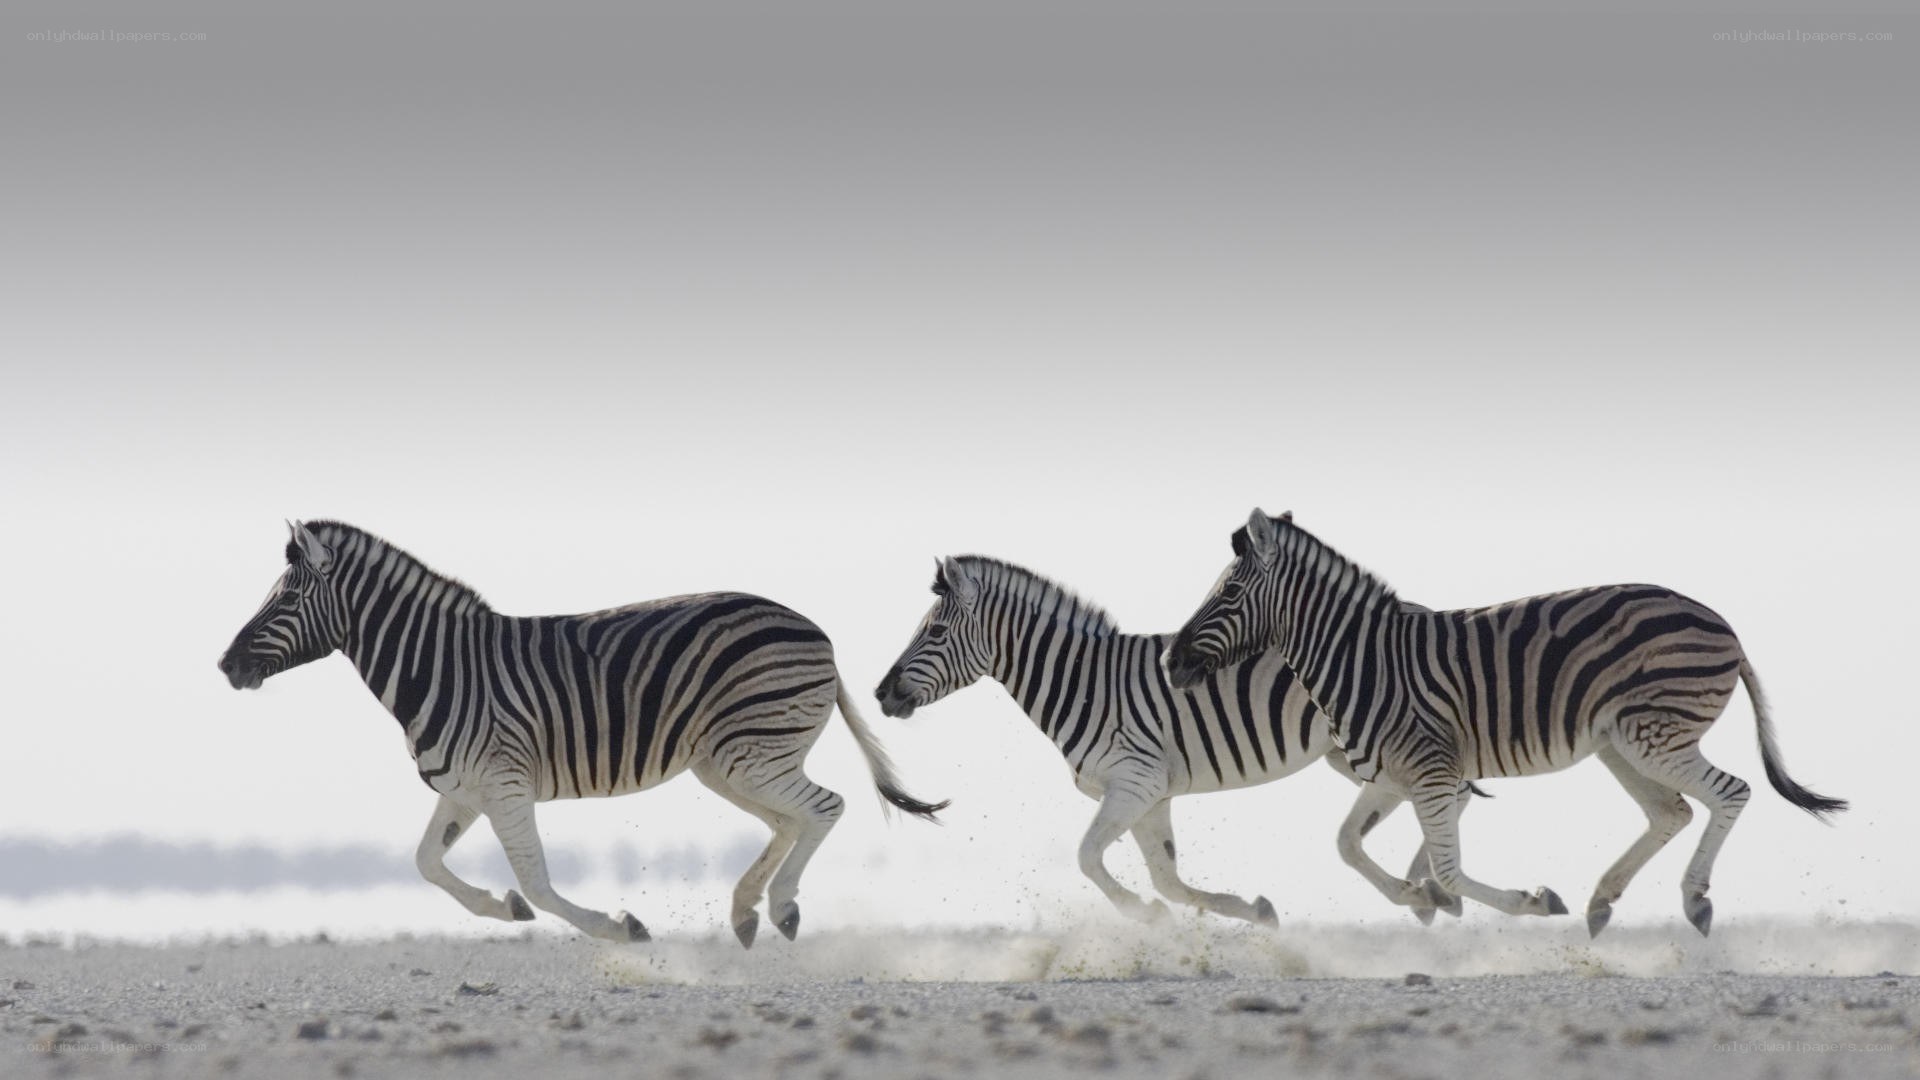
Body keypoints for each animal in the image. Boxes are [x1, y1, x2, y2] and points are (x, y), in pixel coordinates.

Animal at [217, 521, 946, 947]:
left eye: (287, 598)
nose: (225, 665)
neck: (439, 667)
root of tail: (813, 628)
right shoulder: (464, 792)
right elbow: (426, 863)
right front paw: (502, 908)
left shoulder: (505, 785)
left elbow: (538, 881)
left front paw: (619, 928)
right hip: (729, 760)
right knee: (791, 820)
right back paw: (747, 910)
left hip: (750, 753)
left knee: (825, 807)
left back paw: (782, 907)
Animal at [873, 555, 1475, 927]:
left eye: (935, 632)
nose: (880, 693)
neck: (1084, 682)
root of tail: (1423, 614)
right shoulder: (1149, 795)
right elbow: (1168, 879)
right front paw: (1253, 910)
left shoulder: (1134, 782)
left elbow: (1088, 858)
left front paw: (1143, 914)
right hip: (1349, 752)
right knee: (1449, 794)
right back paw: (1426, 892)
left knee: (1451, 793)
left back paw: (1431, 891)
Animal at [1163, 509, 1846, 937]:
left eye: (1228, 594)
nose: (1170, 662)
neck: (1362, 659)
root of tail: (1720, 621)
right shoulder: (1390, 775)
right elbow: (1348, 844)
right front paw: (1419, 898)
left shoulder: (1430, 769)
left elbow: (1449, 869)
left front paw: (1525, 901)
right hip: (1621, 744)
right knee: (1671, 812)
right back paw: (1602, 902)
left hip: (1655, 735)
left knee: (1731, 791)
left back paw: (1695, 899)